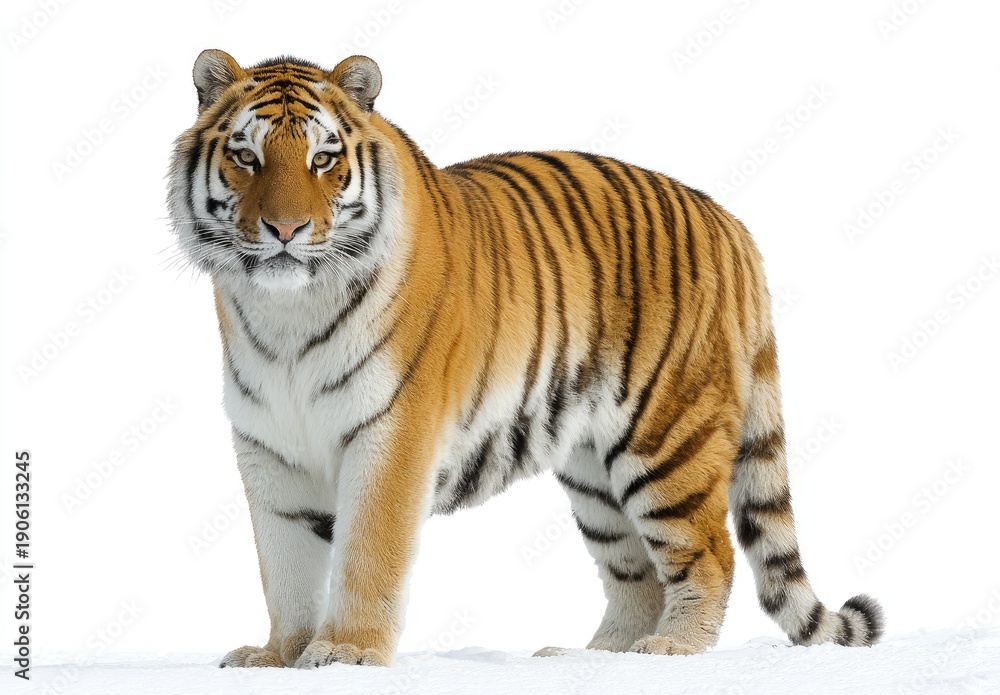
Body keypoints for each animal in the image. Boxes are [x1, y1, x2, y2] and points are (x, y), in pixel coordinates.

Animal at [167, 49, 884, 669]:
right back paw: (595, 656)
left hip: (666, 437)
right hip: (594, 471)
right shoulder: (269, 448)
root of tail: (731, 223)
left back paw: (671, 648)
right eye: (246, 156)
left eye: (322, 159)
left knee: (708, 552)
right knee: (636, 573)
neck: (286, 313)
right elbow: (284, 567)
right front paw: (279, 656)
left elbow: (368, 553)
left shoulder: (392, 435)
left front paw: (347, 652)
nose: (285, 230)